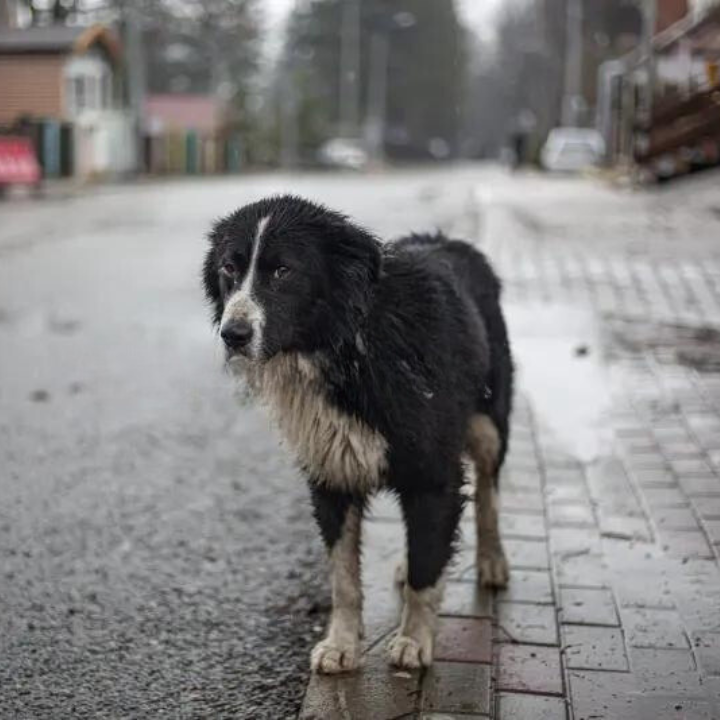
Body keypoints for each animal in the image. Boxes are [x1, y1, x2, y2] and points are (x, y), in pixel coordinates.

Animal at [202, 194, 516, 672]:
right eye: (228, 269)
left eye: (283, 271)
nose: (232, 334)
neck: (348, 345)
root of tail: (449, 240)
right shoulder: (331, 473)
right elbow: (343, 577)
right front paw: (342, 644)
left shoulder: (433, 475)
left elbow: (427, 566)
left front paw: (413, 640)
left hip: (487, 424)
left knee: (489, 492)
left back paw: (492, 559)